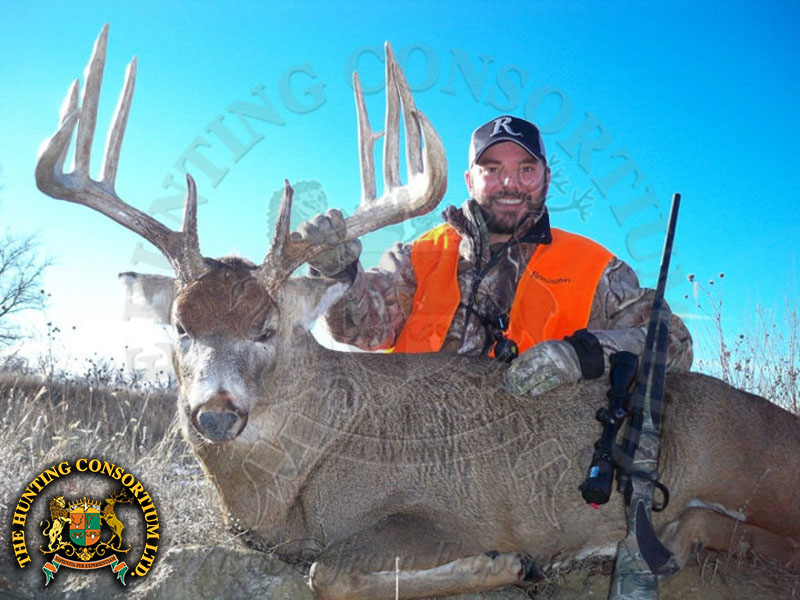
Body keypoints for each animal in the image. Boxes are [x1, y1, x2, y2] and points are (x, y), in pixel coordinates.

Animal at [36, 26, 800, 600]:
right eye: (180, 327)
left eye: (267, 329)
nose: (215, 414)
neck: (287, 487)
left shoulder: (439, 508)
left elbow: (329, 572)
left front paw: (508, 563)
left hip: (753, 471)